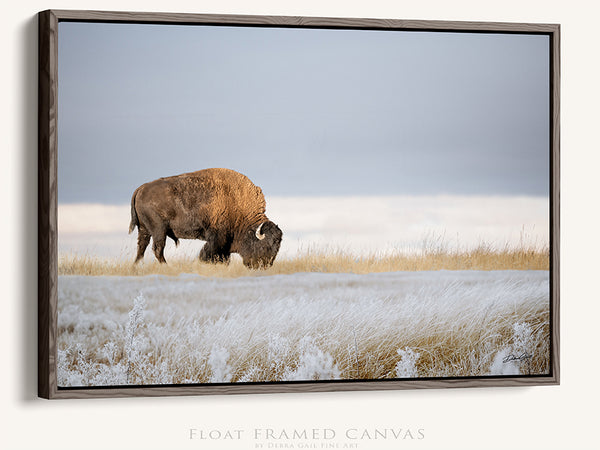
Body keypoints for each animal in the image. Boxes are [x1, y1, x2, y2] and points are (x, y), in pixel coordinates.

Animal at [127, 168, 282, 268]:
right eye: (266, 245)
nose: (265, 265)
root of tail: (141, 188)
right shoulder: (217, 237)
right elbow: (208, 252)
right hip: (159, 230)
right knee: (157, 248)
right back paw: (166, 266)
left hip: (145, 229)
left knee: (142, 247)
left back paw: (136, 266)